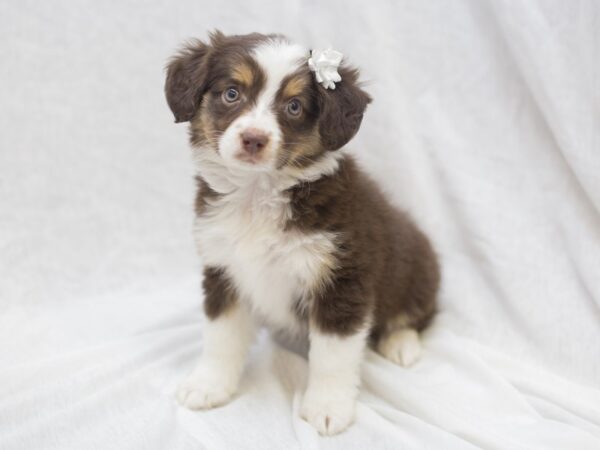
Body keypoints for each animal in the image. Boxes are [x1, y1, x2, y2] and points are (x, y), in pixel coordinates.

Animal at [166, 31, 438, 436]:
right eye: (231, 93)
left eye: (294, 106)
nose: (253, 139)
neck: (258, 195)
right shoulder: (223, 269)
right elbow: (221, 336)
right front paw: (208, 385)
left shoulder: (342, 280)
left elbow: (332, 356)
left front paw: (328, 409)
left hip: (418, 267)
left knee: (417, 313)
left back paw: (401, 344)